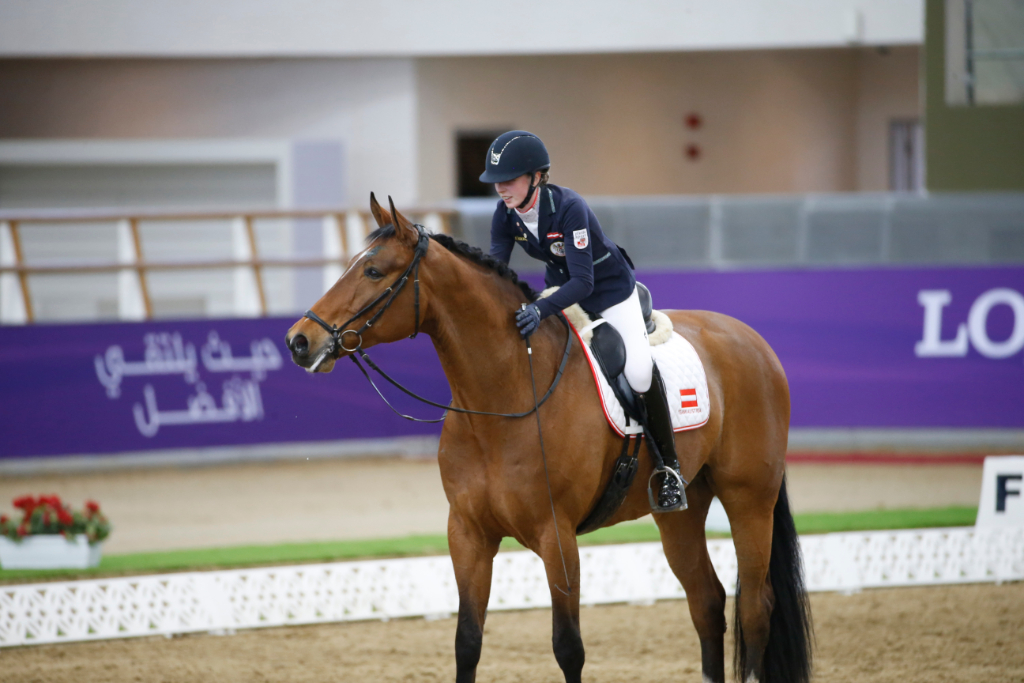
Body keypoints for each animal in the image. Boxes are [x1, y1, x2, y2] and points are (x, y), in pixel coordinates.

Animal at [284, 193, 811, 683]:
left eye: (373, 271)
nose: (299, 341)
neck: (502, 399)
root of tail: (750, 339)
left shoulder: (556, 536)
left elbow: (567, 647)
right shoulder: (468, 535)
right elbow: (467, 642)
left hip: (749, 500)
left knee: (755, 606)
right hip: (680, 511)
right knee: (706, 601)